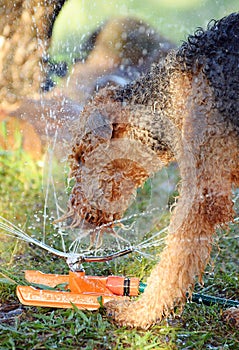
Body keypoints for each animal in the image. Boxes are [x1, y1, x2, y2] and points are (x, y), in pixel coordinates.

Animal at [62, 11, 239, 328]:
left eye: (82, 156)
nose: (77, 212)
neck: (177, 90)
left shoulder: (202, 195)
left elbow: (173, 261)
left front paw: (138, 312)